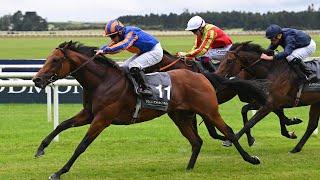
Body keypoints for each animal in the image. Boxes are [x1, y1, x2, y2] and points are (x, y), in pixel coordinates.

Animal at [31, 41, 264, 179]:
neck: (103, 81)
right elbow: (61, 125)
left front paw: (59, 171)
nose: (36, 80)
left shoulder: (102, 119)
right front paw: (41, 149)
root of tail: (201, 75)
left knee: (229, 132)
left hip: (209, 111)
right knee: (196, 141)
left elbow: (82, 145)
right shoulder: (88, 114)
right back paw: (188, 169)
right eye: (47, 58)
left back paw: (251, 158)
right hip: (180, 116)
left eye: (55, 60)